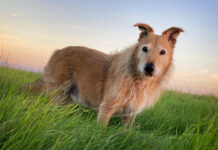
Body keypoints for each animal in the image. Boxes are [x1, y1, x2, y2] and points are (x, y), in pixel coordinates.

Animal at [24, 22, 184, 127]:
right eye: (145, 49)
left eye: (162, 52)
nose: (149, 68)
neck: (138, 80)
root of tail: (57, 52)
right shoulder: (106, 108)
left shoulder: (130, 115)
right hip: (56, 94)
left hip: (67, 99)